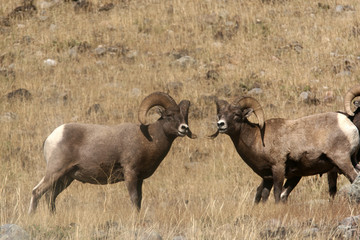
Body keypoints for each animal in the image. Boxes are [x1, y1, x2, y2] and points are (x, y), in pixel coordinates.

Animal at [29, 92, 195, 214]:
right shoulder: (130, 174)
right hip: (55, 172)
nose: (184, 128)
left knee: (50, 196)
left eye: (184, 116)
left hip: (66, 178)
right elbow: (134, 199)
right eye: (169, 116)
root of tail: (52, 137)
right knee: (37, 192)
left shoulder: (139, 179)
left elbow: (139, 200)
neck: (149, 139)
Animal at [211, 95, 360, 202]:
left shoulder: (278, 168)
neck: (257, 139)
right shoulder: (268, 177)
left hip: (342, 161)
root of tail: (349, 125)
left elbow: (277, 193)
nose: (220, 124)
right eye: (220, 115)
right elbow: (265, 195)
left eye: (236, 115)